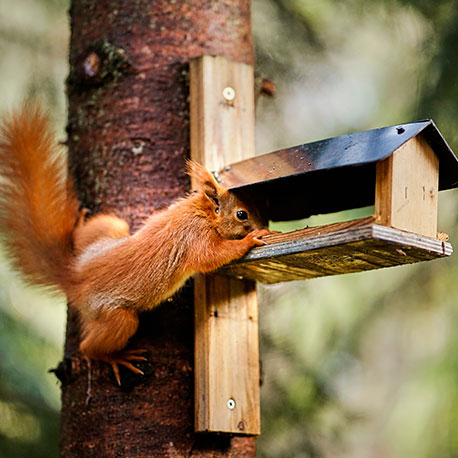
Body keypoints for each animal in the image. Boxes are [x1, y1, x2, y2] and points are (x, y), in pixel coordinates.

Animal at [0, 103, 272, 382]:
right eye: (242, 214)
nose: (263, 225)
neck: (201, 213)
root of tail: (76, 275)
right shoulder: (195, 239)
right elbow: (212, 257)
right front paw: (251, 239)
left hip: (111, 228)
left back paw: (80, 224)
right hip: (116, 317)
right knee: (90, 346)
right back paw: (116, 358)